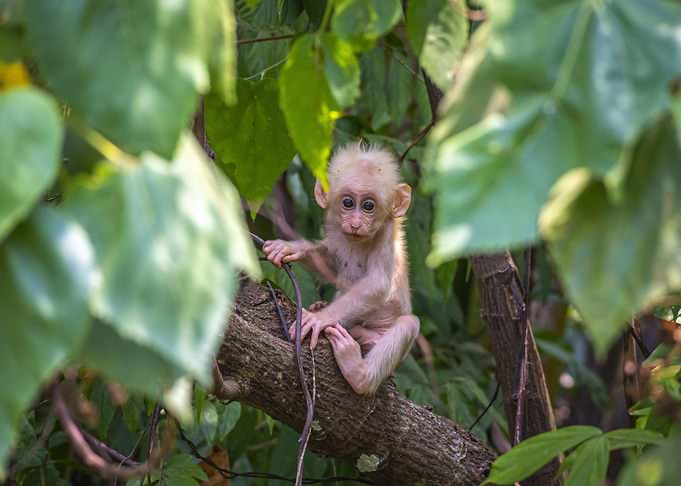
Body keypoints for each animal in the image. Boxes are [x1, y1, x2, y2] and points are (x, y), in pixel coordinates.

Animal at [263, 142, 419, 395]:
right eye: (348, 203)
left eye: (368, 206)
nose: (355, 223)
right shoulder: (337, 228)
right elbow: (332, 264)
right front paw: (290, 248)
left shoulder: (387, 233)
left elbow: (378, 283)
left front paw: (320, 319)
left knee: (408, 323)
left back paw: (359, 373)